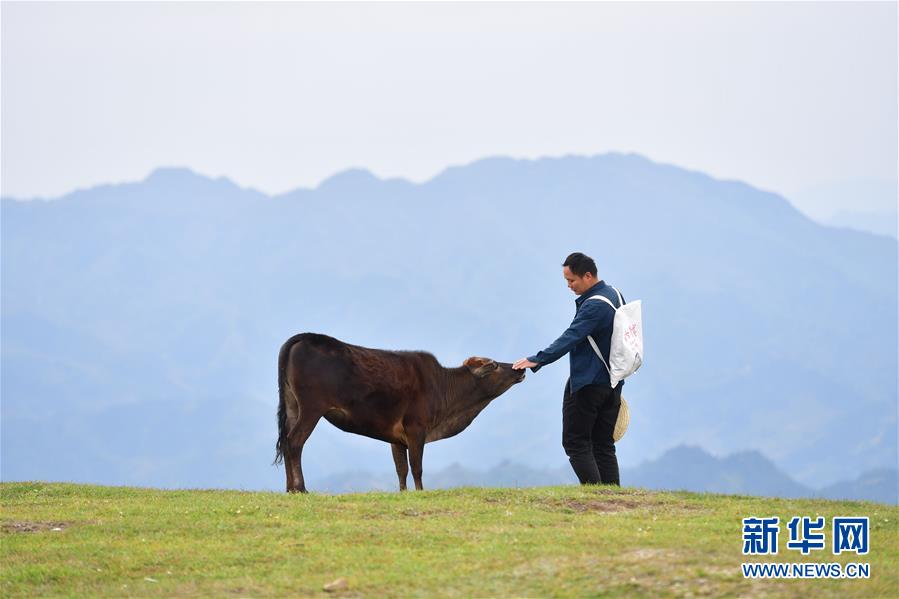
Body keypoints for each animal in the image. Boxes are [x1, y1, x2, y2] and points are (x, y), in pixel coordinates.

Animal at [276, 332, 528, 492]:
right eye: (495, 366)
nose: (520, 369)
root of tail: (303, 337)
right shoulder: (416, 428)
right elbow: (416, 467)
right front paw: (420, 492)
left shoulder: (395, 438)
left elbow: (401, 469)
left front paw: (404, 492)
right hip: (312, 407)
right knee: (295, 441)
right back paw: (301, 488)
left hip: (292, 406)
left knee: (285, 440)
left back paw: (289, 489)